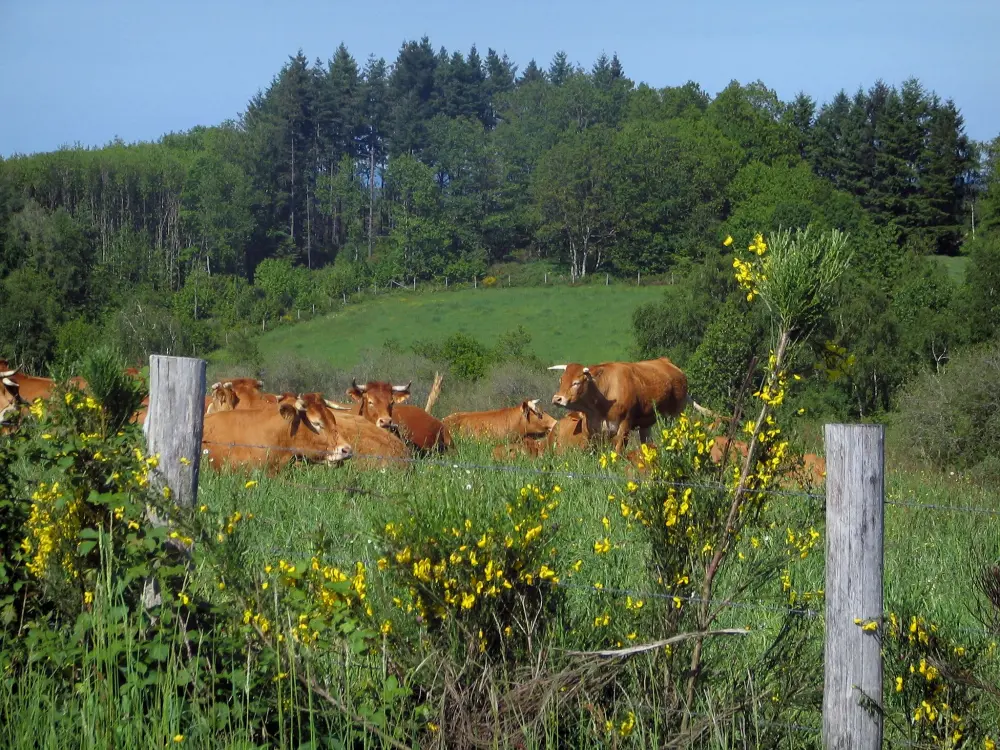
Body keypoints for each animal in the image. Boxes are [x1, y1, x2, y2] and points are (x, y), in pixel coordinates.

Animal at [548, 358, 696, 452]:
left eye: (576, 383)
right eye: (561, 380)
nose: (557, 399)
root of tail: (667, 362)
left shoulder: (624, 425)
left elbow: (618, 451)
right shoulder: (594, 430)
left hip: (677, 415)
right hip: (646, 425)